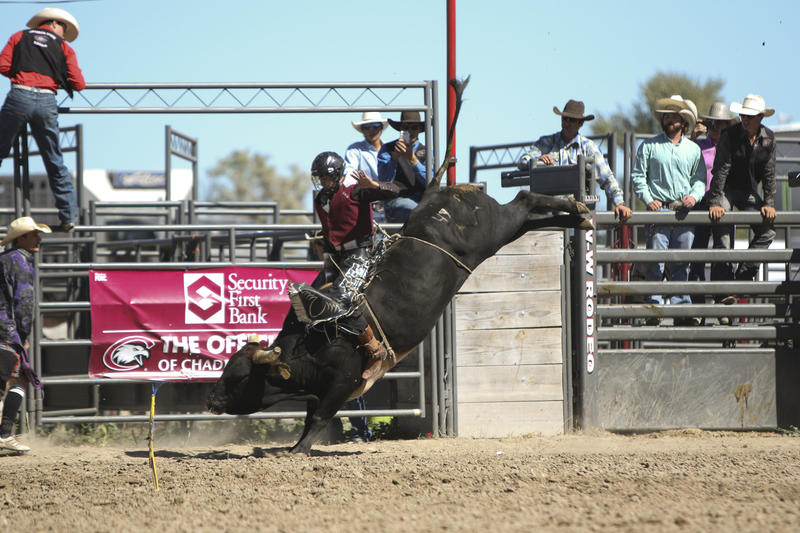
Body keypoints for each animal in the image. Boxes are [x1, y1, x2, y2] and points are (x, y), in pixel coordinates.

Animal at [206, 184, 592, 454]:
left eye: (239, 377)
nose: (210, 401)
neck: (310, 344)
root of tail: (444, 192)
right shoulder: (320, 390)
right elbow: (310, 418)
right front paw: (294, 445)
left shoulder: (343, 383)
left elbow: (317, 418)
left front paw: (298, 450)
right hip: (500, 235)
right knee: (527, 218)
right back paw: (580, 216)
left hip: (493, 229)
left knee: (524, 200)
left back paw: (578, 206)